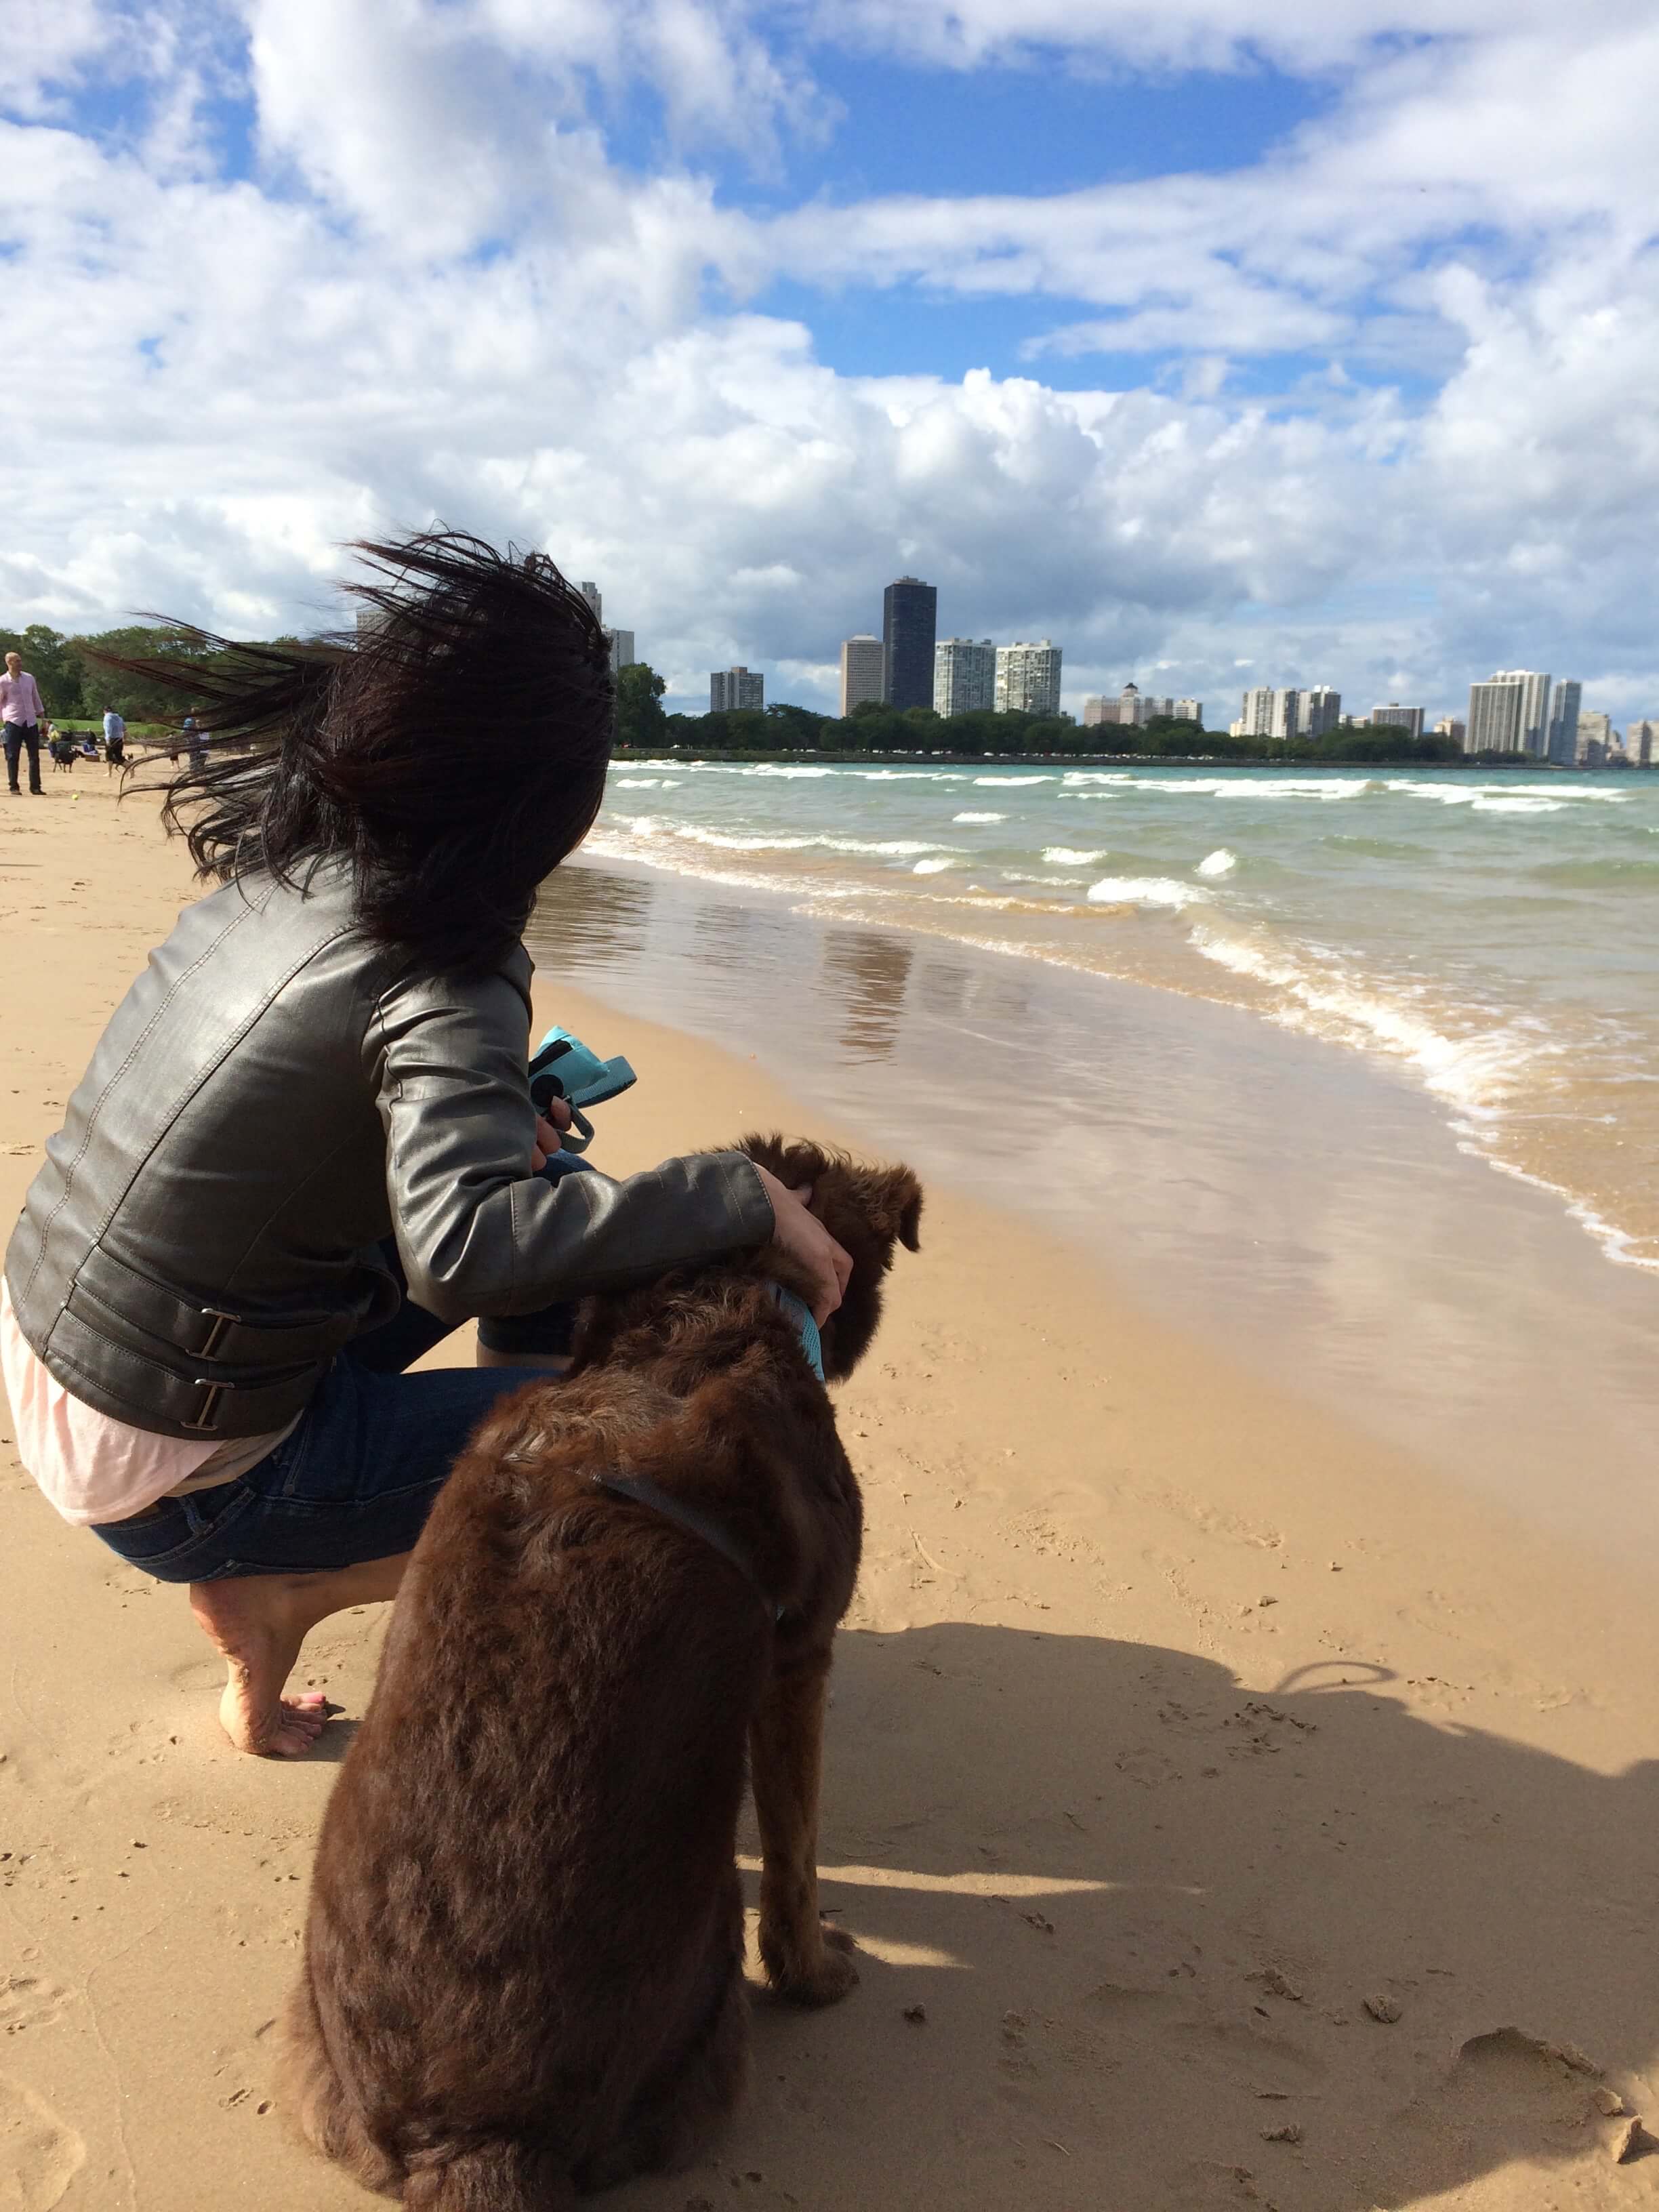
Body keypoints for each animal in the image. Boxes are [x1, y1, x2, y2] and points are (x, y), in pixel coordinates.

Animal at [276, 1141, 924, 2212]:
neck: (701, 1323)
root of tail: (476, 2142)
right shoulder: (801, 1655)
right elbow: (796, 1858)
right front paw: (819, 1973)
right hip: (703, 2009)